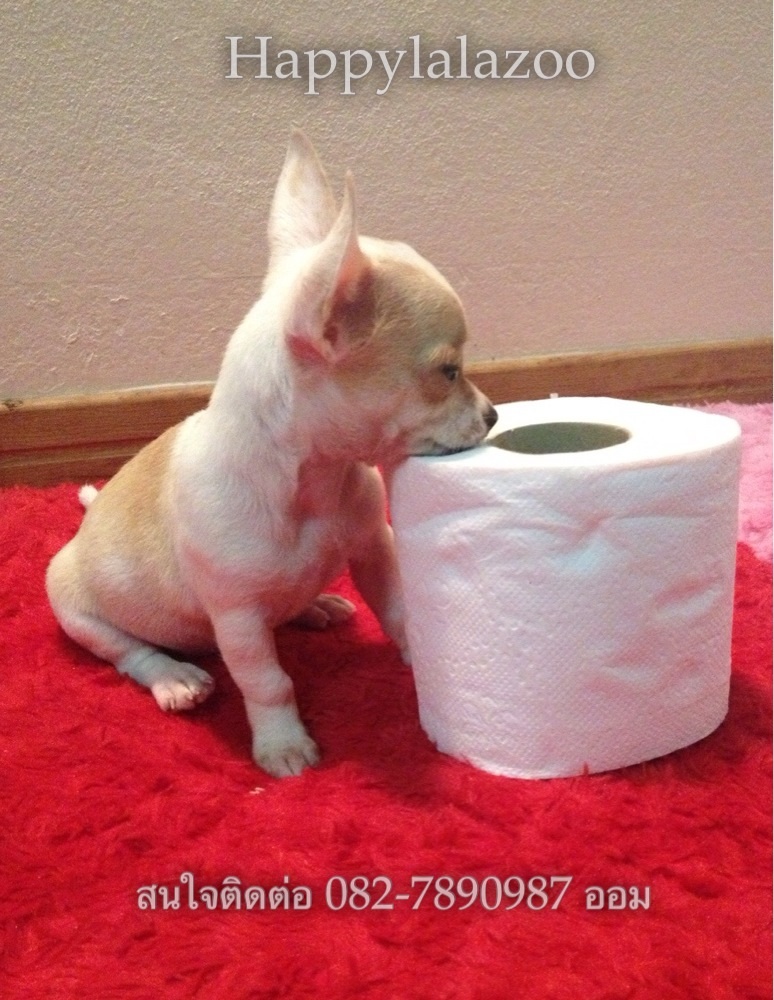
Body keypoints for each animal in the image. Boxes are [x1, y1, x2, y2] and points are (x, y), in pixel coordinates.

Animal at [46, 131, 497, 777]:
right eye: (448, 371)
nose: (493, 415)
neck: (315, 480)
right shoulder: (238, 620)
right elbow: (267, 681)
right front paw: (282, 744)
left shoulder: (373, 546)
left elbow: (398, 609)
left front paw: (423, 658)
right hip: (78, 607)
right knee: (131, 653)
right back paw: (175, 677)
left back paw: (315, 605)